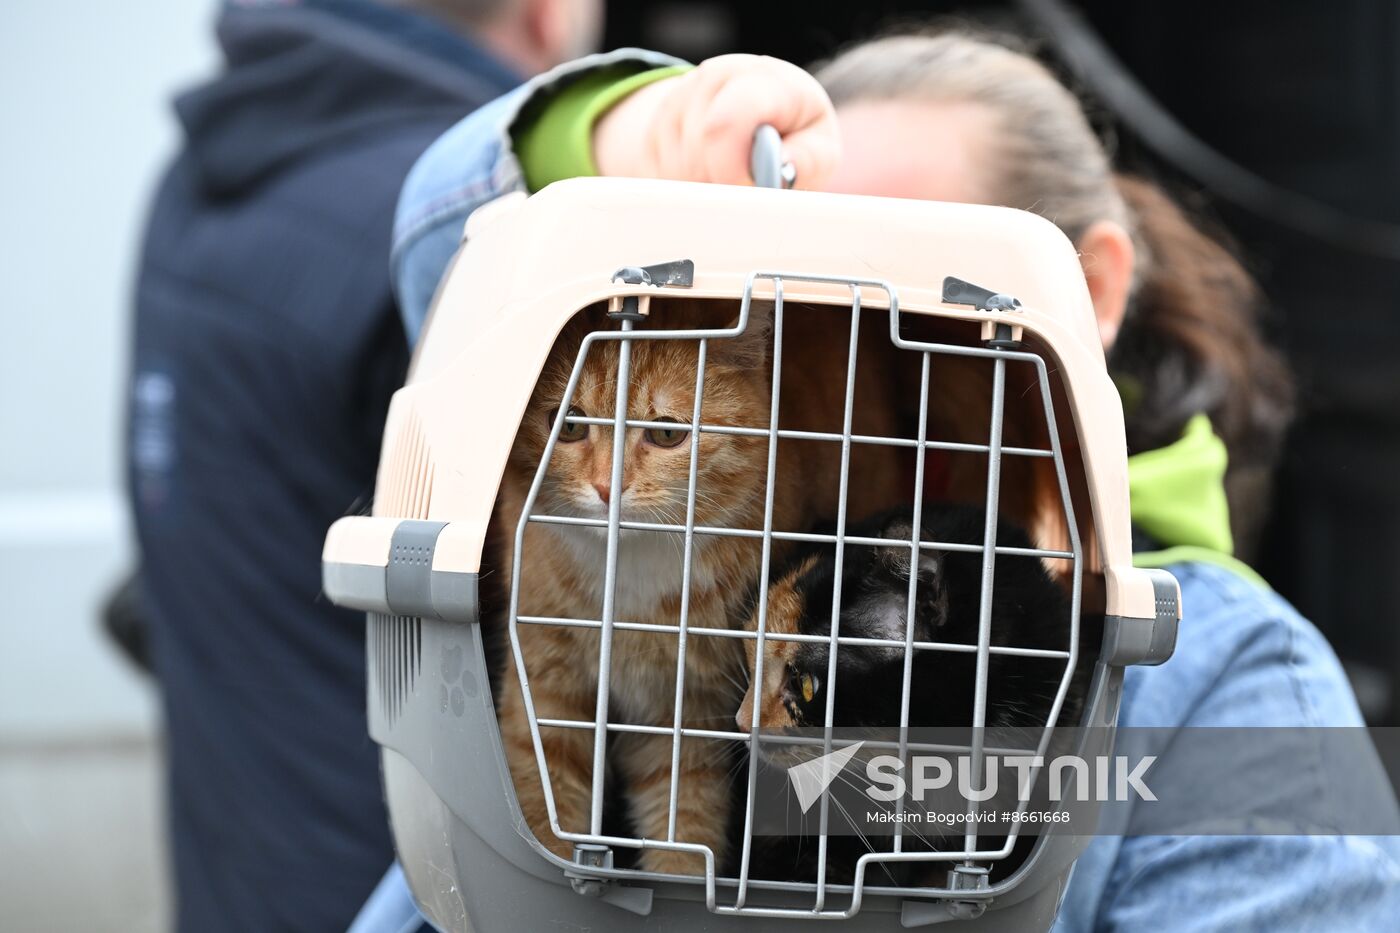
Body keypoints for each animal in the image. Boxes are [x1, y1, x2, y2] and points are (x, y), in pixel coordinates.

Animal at [495, 298, 907, 874]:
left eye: (668, 434)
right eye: (568, 424)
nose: (605, 487)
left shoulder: (686, 710)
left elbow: (684, 826)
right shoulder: (545, 691)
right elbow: (545, 806)